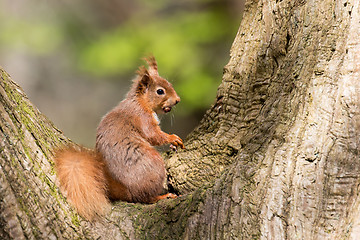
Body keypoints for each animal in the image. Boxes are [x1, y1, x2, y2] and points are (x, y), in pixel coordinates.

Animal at [54, 56, 184, 221]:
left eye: (170, 84)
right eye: (160, 91)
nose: (178, 100)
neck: (140, 102)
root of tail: (125, 190)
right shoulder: (143, 118)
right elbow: (153, 136)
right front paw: (172, 138)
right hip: (154, 167)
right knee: (144, 198)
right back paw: (162, 196)